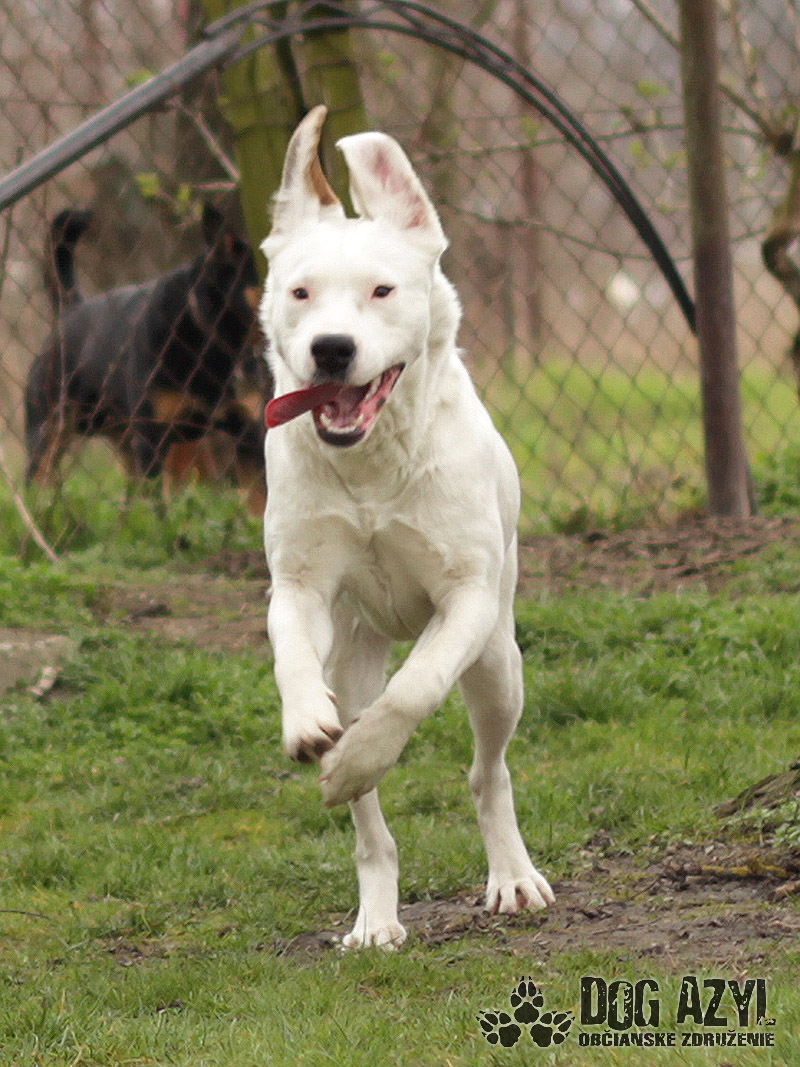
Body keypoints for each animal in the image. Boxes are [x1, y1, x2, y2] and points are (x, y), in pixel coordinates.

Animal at [259, 106, 554, 949]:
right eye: (300, 291)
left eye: (382, 289)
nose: (331, 349)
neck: (369, 468)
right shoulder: (298, 582)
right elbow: (291, 649)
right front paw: (308, 724)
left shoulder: (466, 600)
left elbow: (416, 687)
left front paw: (362, 751)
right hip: (357, 657)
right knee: (371, 828)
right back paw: (376, 915)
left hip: (499, 665)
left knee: (488, 771)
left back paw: (512, 875)